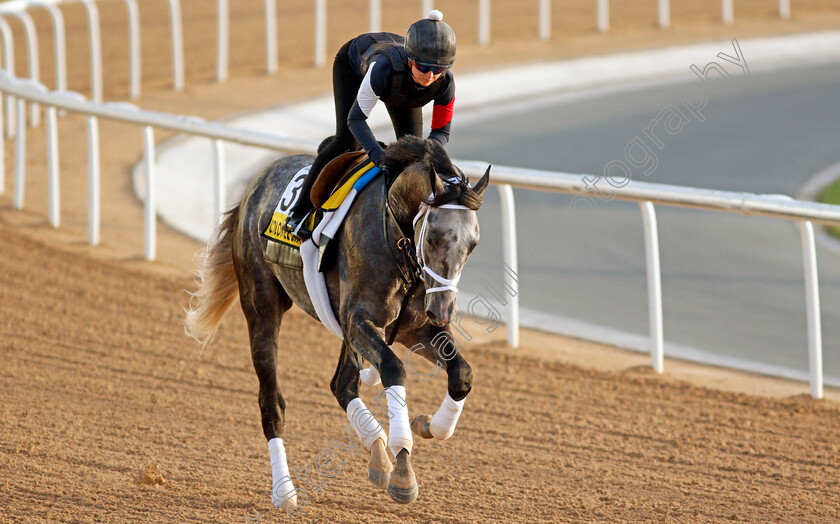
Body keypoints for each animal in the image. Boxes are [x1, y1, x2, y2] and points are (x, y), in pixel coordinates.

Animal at [184, 136, 486, 512]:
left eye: (473, 245)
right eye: (431, 238)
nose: (444, 310)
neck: (396, 233)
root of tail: (255, 184)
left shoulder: (412, 328)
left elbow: (462, 373)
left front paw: (431, 425)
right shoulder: (360, 321)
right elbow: (394, 368)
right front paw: (403, 467)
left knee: (341, 384)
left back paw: (376, 450)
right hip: (261, 307)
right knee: (272, 401)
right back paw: (284, 491)